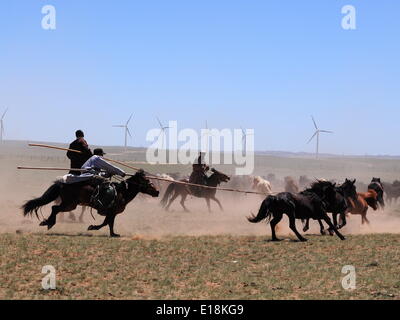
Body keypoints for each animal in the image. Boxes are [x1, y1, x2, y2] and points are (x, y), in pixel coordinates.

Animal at [21, 170, 159, 238]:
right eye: (147, 181)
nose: (157, 192)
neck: (122, 192)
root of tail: (62, 183)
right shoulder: (112, 211)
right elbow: (106, 223)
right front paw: (93, 227)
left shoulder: (112, 213)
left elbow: (109, 223)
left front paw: (113, 234)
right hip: (69, 204)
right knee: (55, 208)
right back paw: (49, 223)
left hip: (70, 204)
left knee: (54, 208)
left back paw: (47, 222)